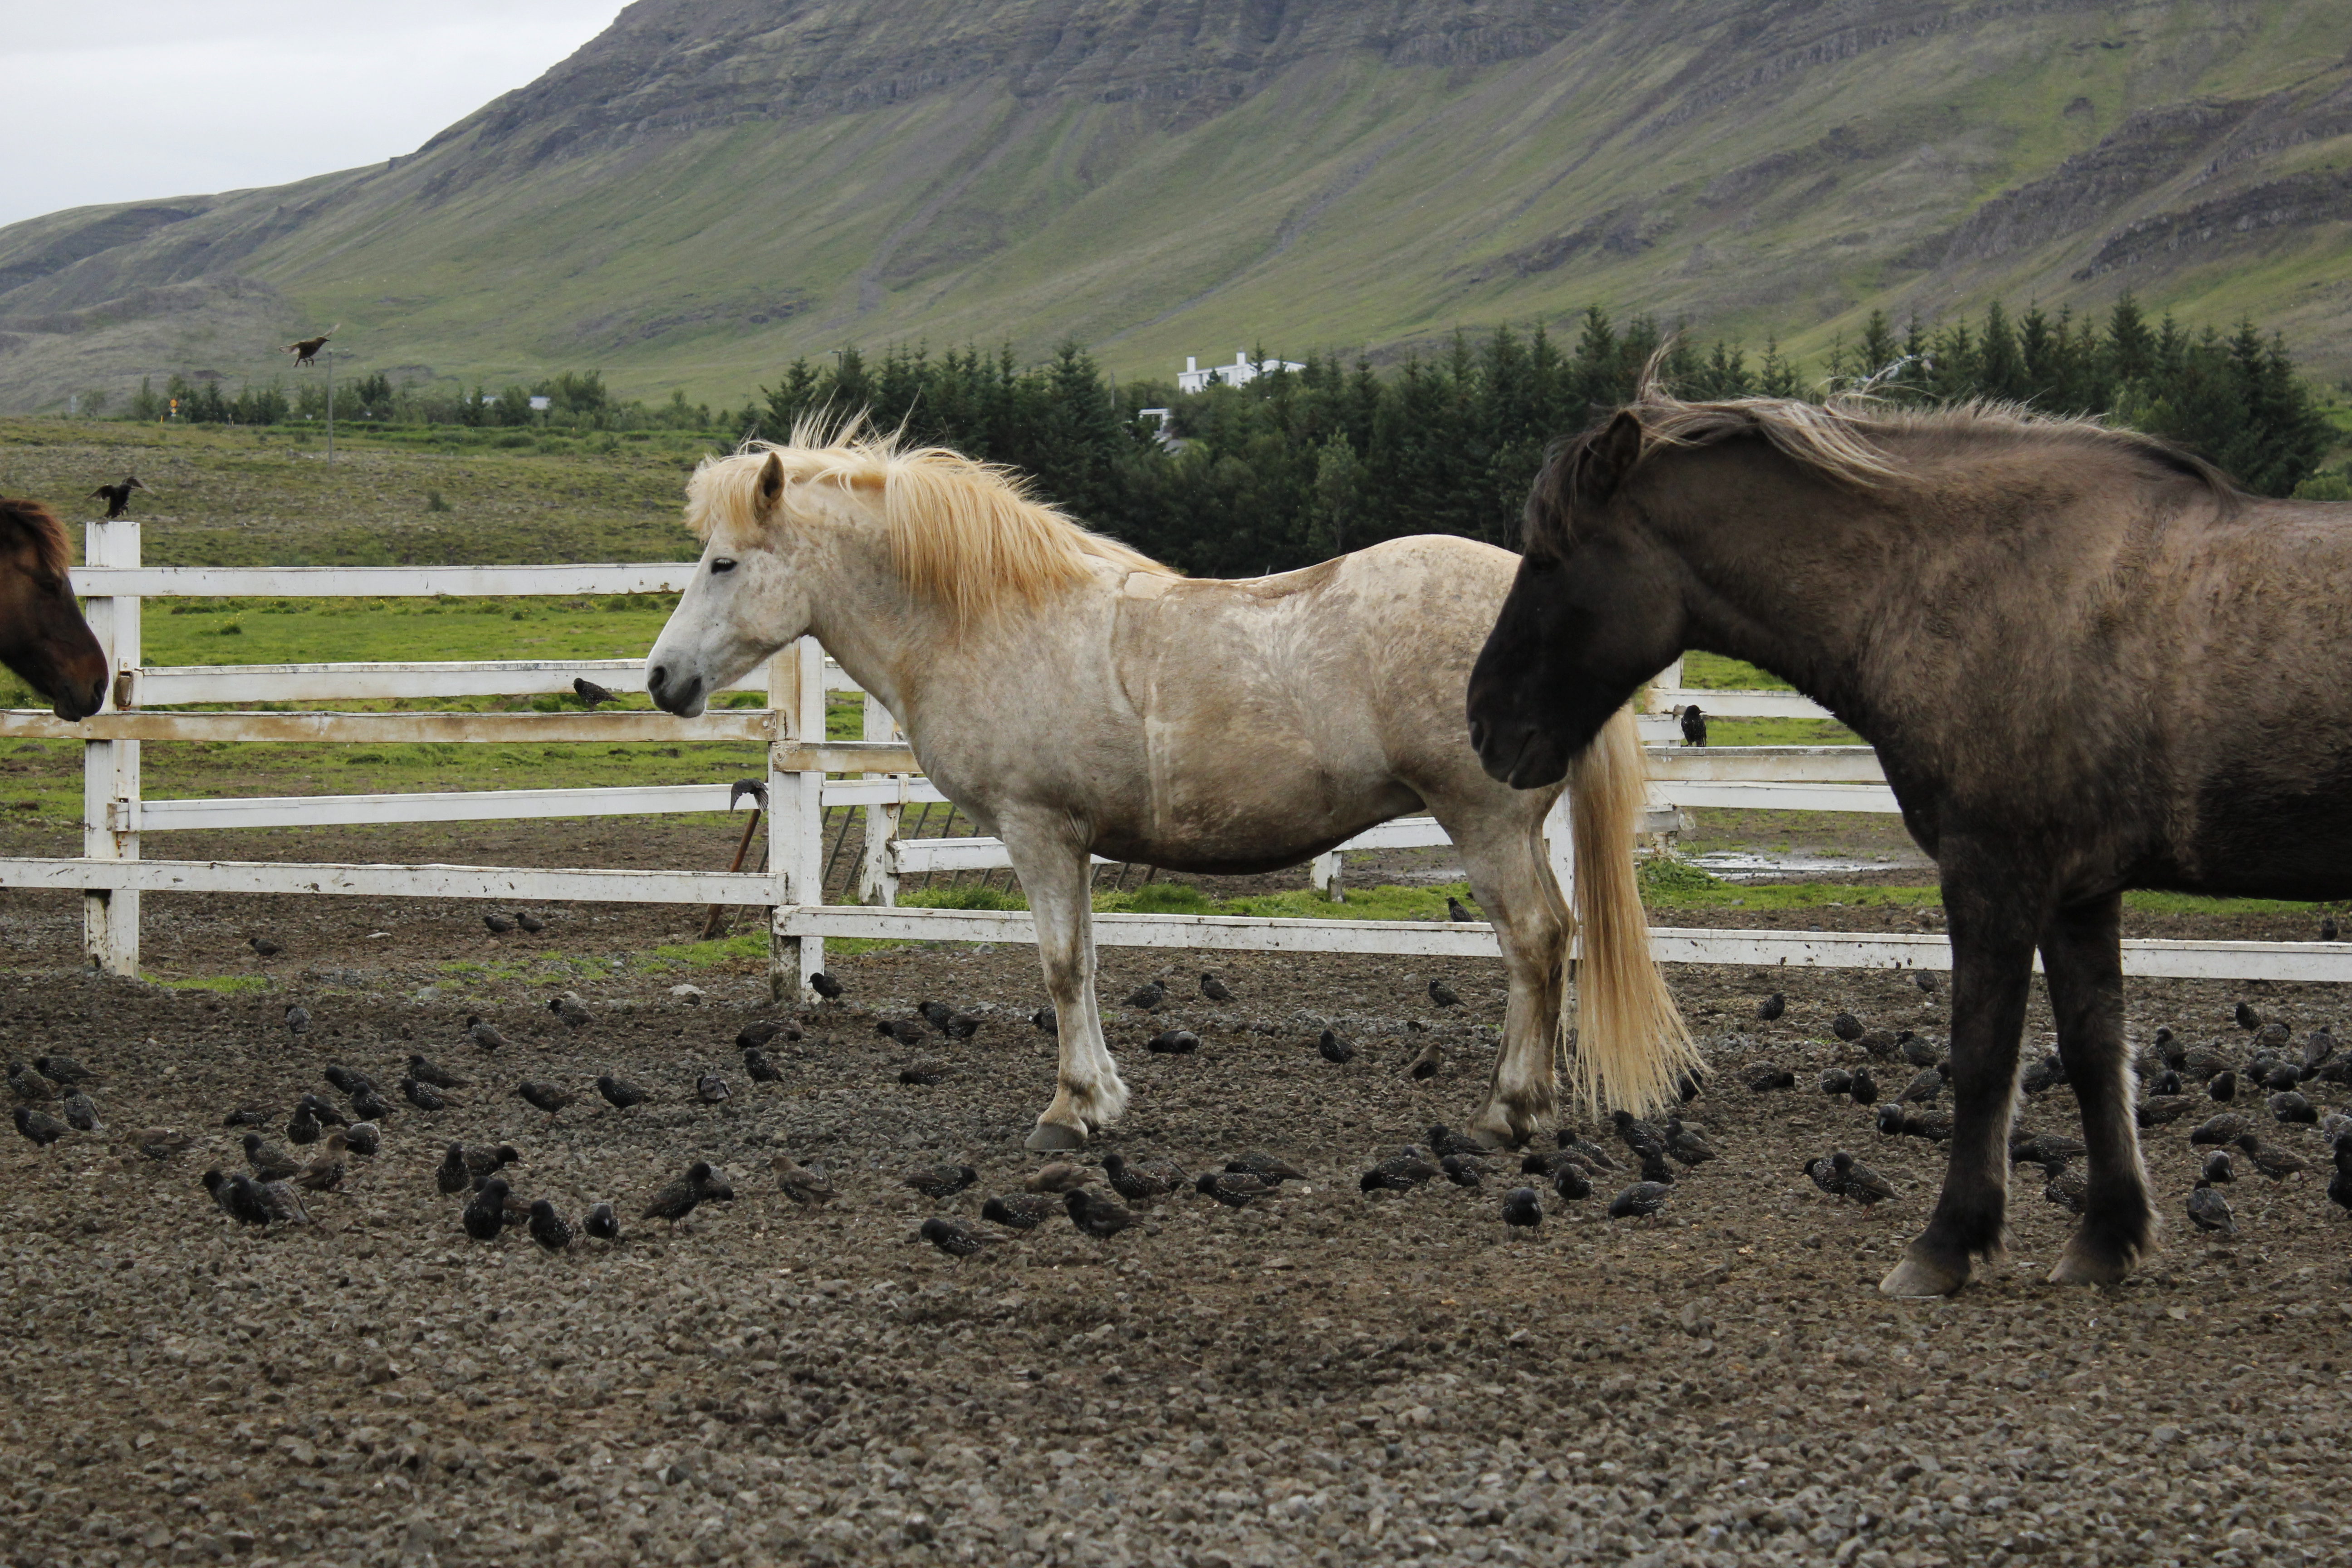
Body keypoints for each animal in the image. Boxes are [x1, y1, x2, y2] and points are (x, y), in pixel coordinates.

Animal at [645, 427, 1695, 1150]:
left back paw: (1508, 1112)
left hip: (1485, 824)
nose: (661, 680)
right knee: (1550, 942)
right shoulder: (1072, 842)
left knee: (1536, 943)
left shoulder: (1037, 832)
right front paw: (1103, 1097)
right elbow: (1086, 967)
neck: (990, 620)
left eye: (724, 562)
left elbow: (1060, 968)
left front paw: (1069, 1111)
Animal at [1466, 380, 2352, 1297]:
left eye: (1549, 555)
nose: (1481, 722)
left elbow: (1983, 1054)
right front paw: (2108, 1238)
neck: (1985, 588)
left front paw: (1948, 1242)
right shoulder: (2077, 891)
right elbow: (2094, 1050)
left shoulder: (1993, 870)